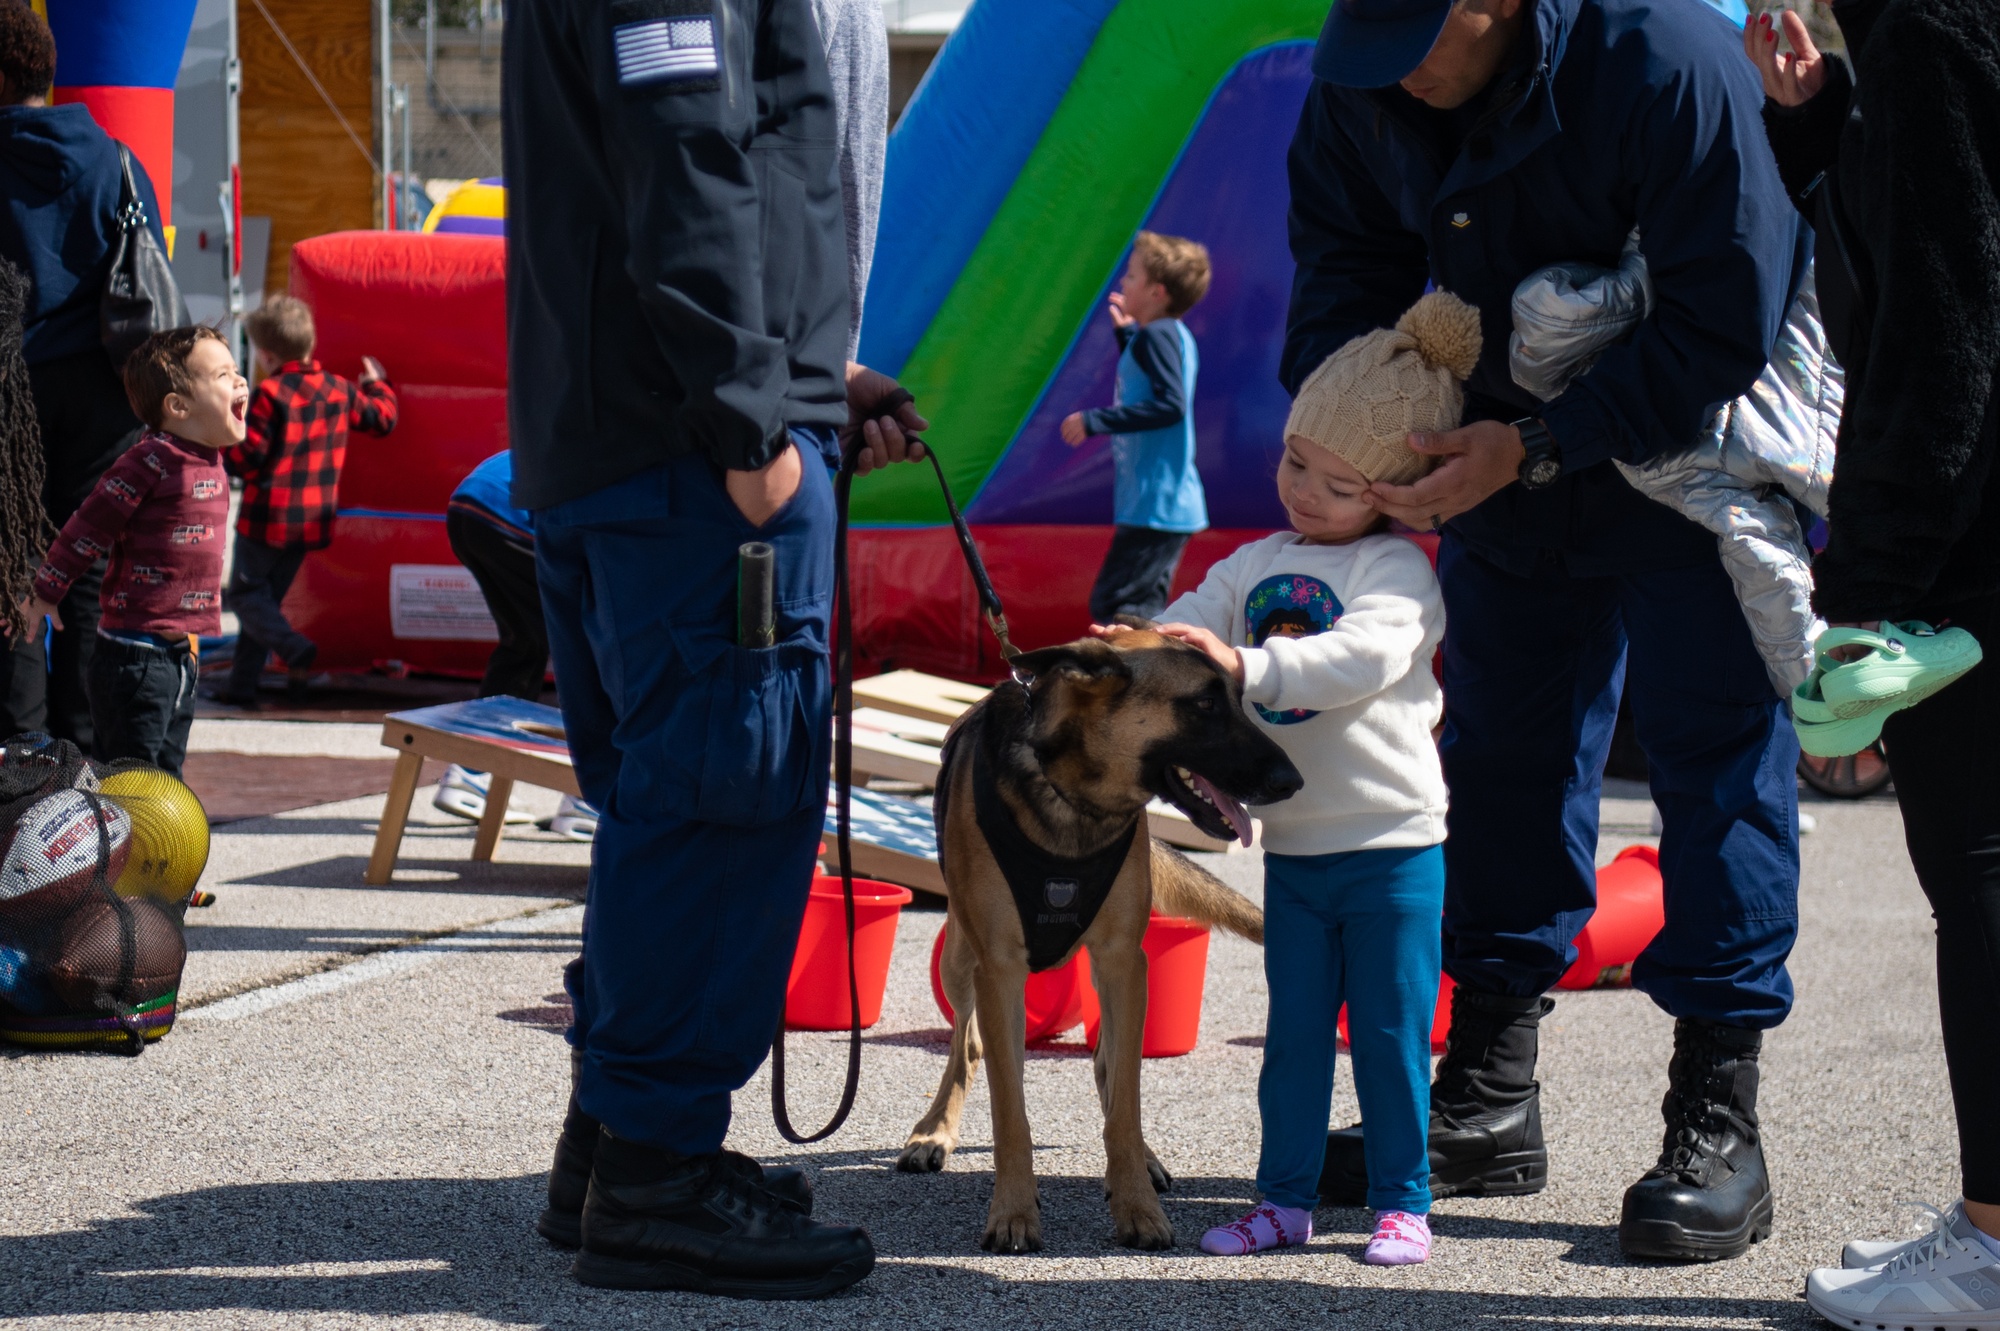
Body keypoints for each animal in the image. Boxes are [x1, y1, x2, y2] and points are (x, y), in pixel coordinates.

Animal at [900, 627, 1304, 1247]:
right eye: (1204, 704)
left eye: (1240, 700)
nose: (1292, 781)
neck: (1077, 802)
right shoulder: (1000, 969)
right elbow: (1010, 1111)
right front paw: (1013, 1211)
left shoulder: (1122, 961)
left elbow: (1126, 1100)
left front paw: (1136, 1201)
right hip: (959, 961)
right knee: (967, 1046)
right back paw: (934, 1131)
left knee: (1107, 1066)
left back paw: (1143, 1160)